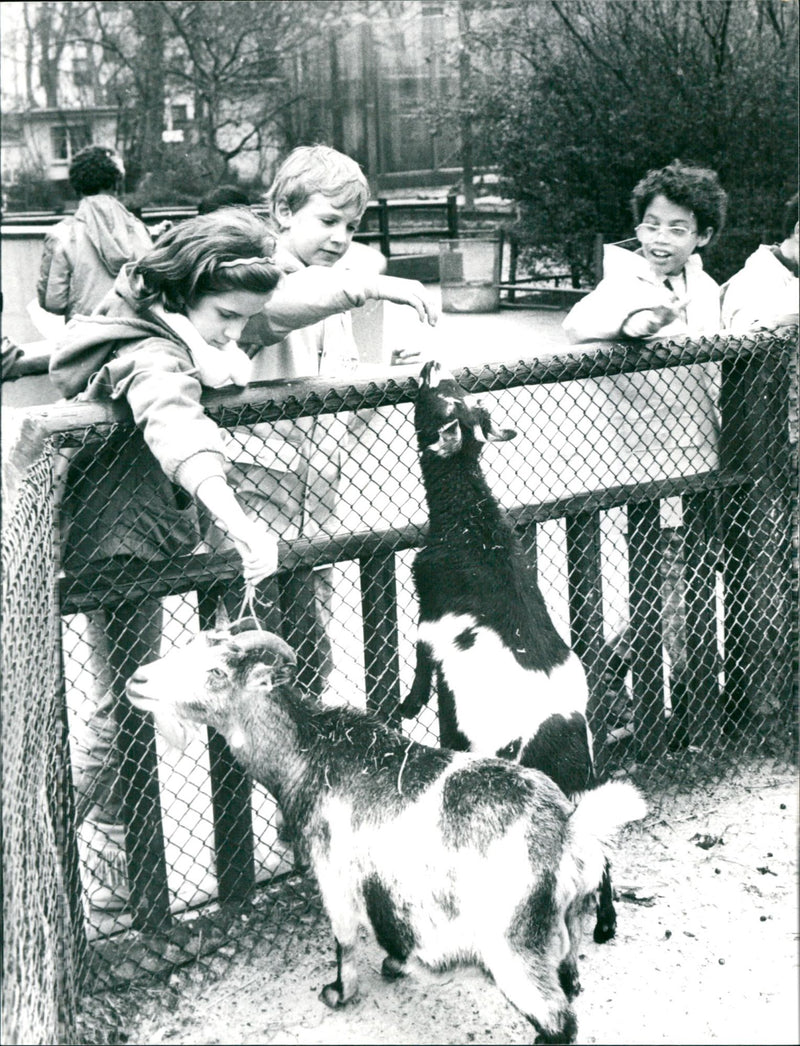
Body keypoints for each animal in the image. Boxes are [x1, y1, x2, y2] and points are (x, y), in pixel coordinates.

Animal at [128, 623, 644, 1041]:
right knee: (570, 975)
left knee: (559, 1020)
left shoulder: (335, 873)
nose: (137, 681)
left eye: (216, 672)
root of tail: (568, 831)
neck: (311, 756)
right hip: (560, 924)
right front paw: (395, 963)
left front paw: (339, 992)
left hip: (512, 943)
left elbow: (344, 937)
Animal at [399, 357, 619, 941]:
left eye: (441, 400)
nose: (430, 363)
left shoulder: (435, 617)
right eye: (455, 390)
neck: (471, 524)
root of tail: (568, 741)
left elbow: (422, 659)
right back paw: (606, 923)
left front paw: (407, 706)